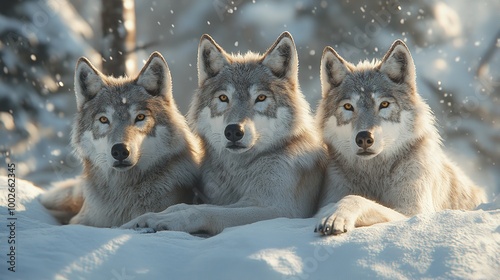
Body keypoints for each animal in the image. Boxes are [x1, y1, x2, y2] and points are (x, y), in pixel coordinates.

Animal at [122, 31, 328, 235]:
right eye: (223, 98)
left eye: (261, 98)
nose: (234, 131)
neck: (240, 170)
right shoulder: (240, 201)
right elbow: (184, 206)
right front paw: (143, 219)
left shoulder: (280, 210)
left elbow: (201, 212)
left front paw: (164, 221)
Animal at [314, 39, 486, 235]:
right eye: (349, 107)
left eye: (384, 104)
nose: (364, 138)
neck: (375, 174)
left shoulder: (413, 211)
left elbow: (356, 198)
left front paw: (336, 216)